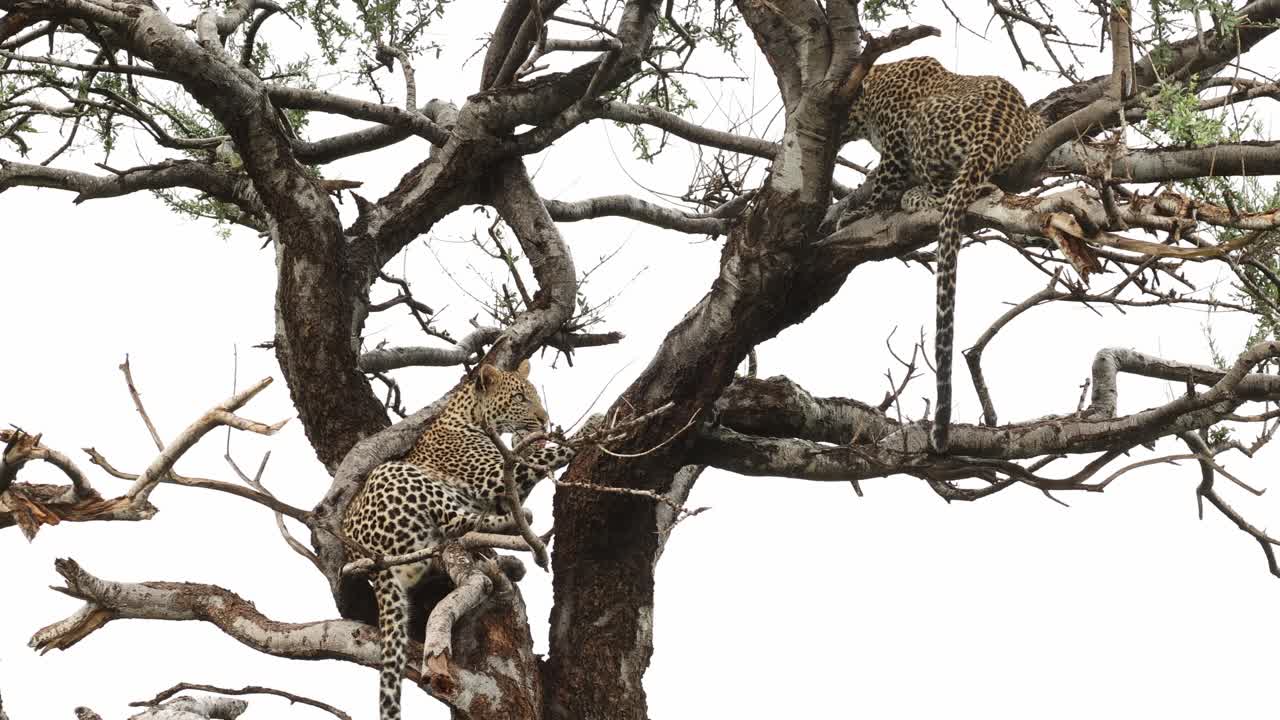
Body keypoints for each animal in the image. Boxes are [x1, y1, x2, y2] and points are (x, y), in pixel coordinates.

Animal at [343, 360, 580, 720]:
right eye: (520, 398)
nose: (544, 420)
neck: (469, 415)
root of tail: (369, 560)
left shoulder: (501, 484)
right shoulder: (494, 476)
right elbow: (536, 460)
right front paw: (590, 430)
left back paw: (510, 559)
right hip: (394, 473)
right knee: (459, 524)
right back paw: (518, 526)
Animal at [837, 56, 1046, 453]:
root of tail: (994, 129)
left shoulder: (895, 139)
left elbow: (882, 185)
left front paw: (858, 211)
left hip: (923, 125)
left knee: (948, 191)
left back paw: (914, 196)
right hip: (1031, 131)